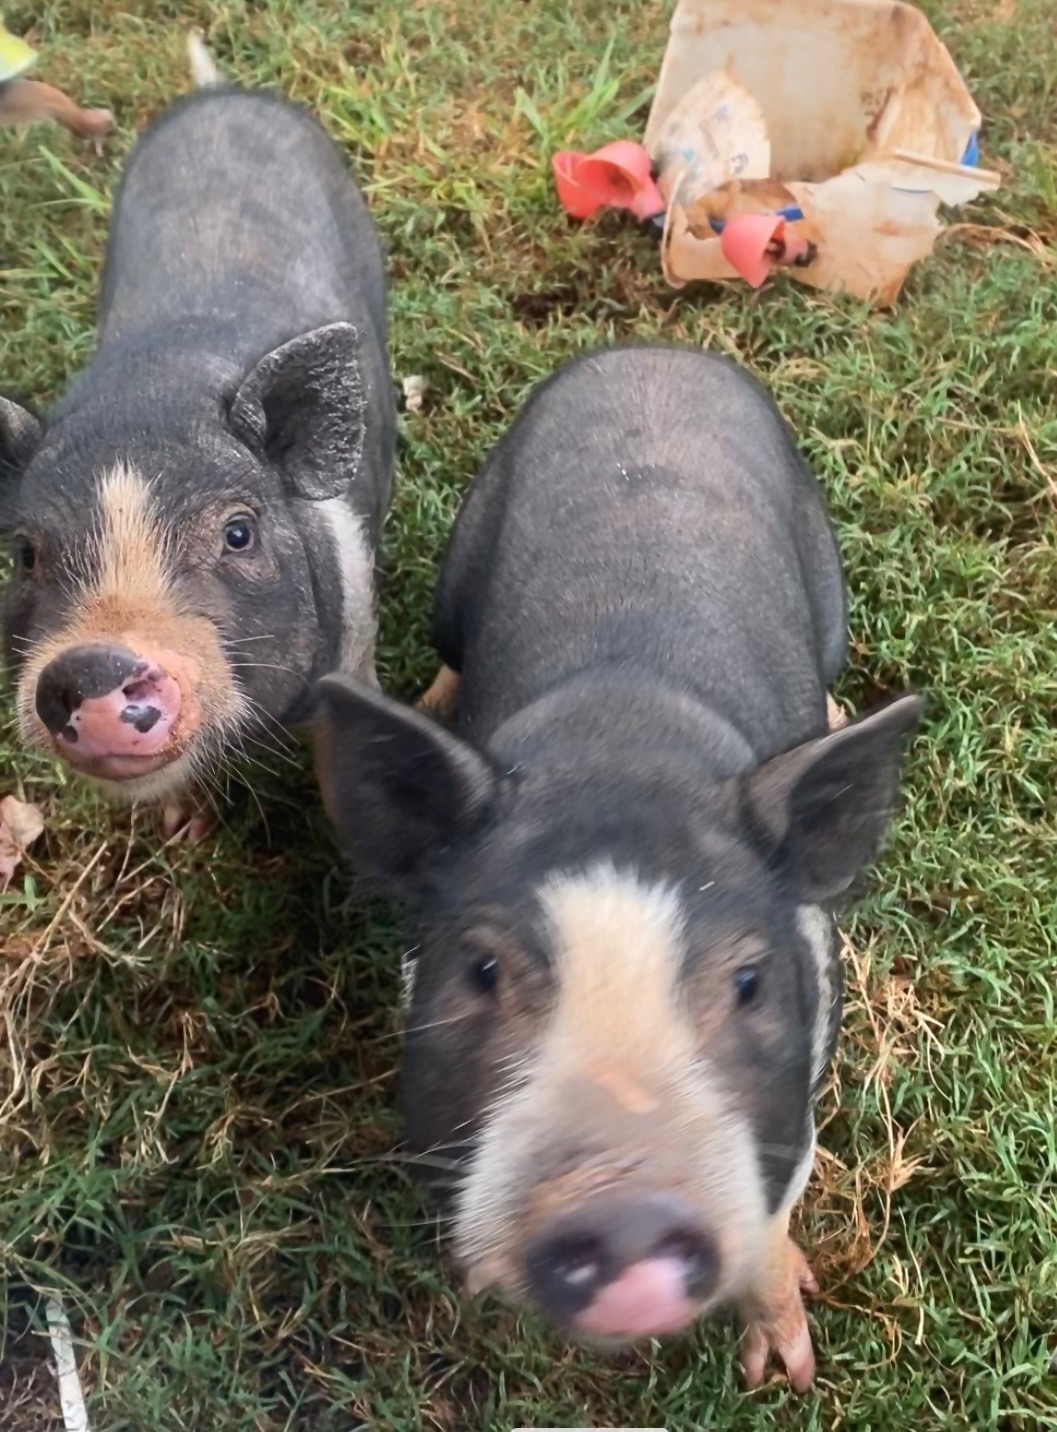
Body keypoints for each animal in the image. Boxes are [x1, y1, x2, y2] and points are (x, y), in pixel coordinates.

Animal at [0, 42, 394, 839]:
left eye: (239, 533)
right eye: (25, 554)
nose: (91, 666)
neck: (154, 392)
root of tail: (221, 93)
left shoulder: (358, 626)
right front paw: (183, 828)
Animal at [314, 344, 922, 1389]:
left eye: (749, 980)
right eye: (480, 968)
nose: (624, 1208)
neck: (622, 748)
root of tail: (656, 352)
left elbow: (771, 1223)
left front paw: (782, 1374)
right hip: (457, 561)